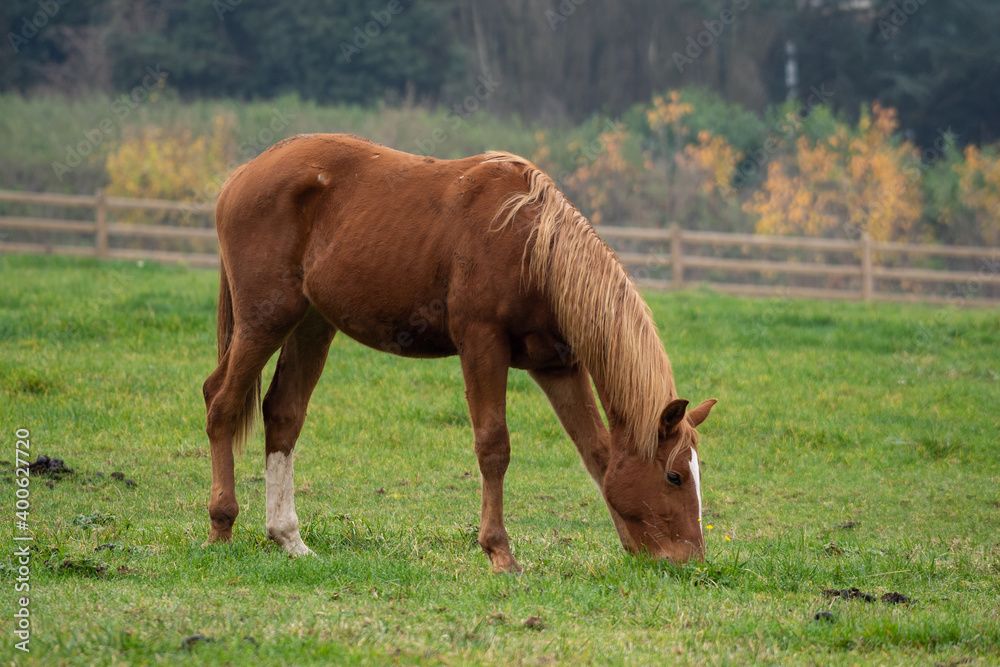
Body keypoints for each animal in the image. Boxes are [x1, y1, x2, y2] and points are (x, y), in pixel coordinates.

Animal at [202, 133, 717, 573]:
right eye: (675, 476)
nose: (689, 562)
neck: (533, 248)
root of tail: (242, 176)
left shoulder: (558, 366)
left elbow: (597, 453)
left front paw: (628, 544)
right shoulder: (482, 346)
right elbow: (494, 447)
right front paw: (500, 552)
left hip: (311, 325)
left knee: (282, 414)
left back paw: (289, 538)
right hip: (266, 320)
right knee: (221, 403)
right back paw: (221, 526)